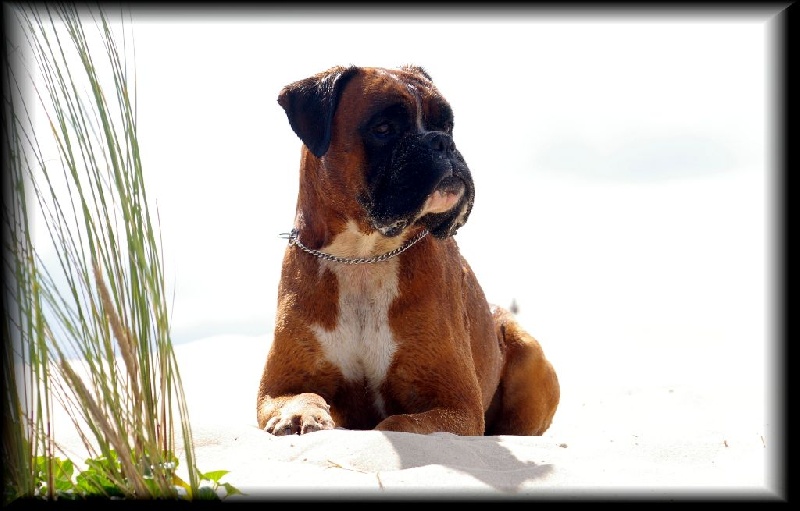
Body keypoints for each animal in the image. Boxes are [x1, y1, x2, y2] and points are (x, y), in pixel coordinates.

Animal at [256, 65, 559, 436]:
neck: (363, 254)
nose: (441, 141)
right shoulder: (278, 389)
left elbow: (396, 422)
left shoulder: (456, 406)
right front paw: (300, 415)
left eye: (447, 125)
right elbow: (301, 397)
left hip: (528, 355)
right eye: (384, 128)